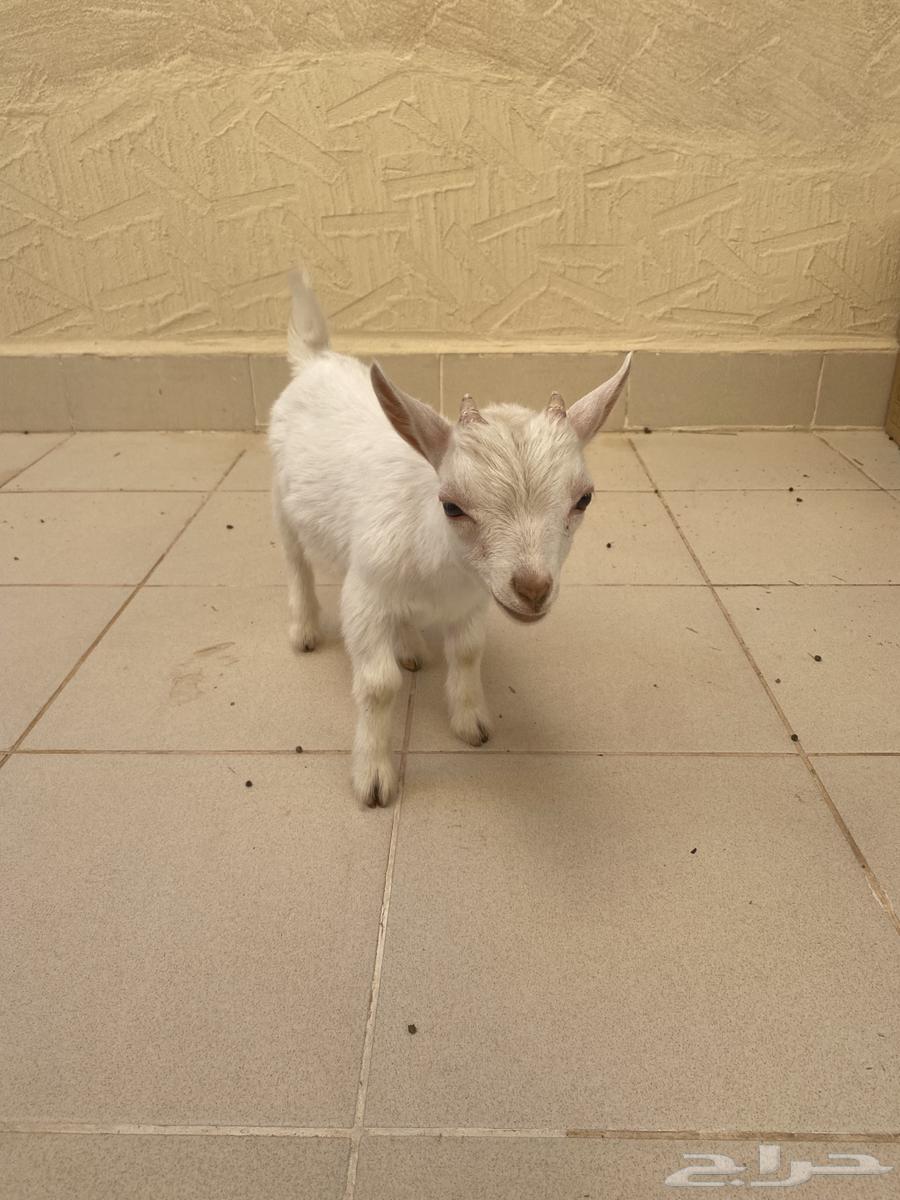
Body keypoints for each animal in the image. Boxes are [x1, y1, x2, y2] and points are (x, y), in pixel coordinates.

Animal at [268, 270, 631, 807]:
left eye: (583, 499)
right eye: (453, 505)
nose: (533, 589)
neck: (442, 568)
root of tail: (316, 359)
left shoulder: (473, 601)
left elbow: (468, 652)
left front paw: (471, 722)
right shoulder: (366, 596)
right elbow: (378, 685)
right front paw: (373, 778)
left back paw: (411, 647)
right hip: (281, 498)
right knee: (295, 560)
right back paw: (305, 629)